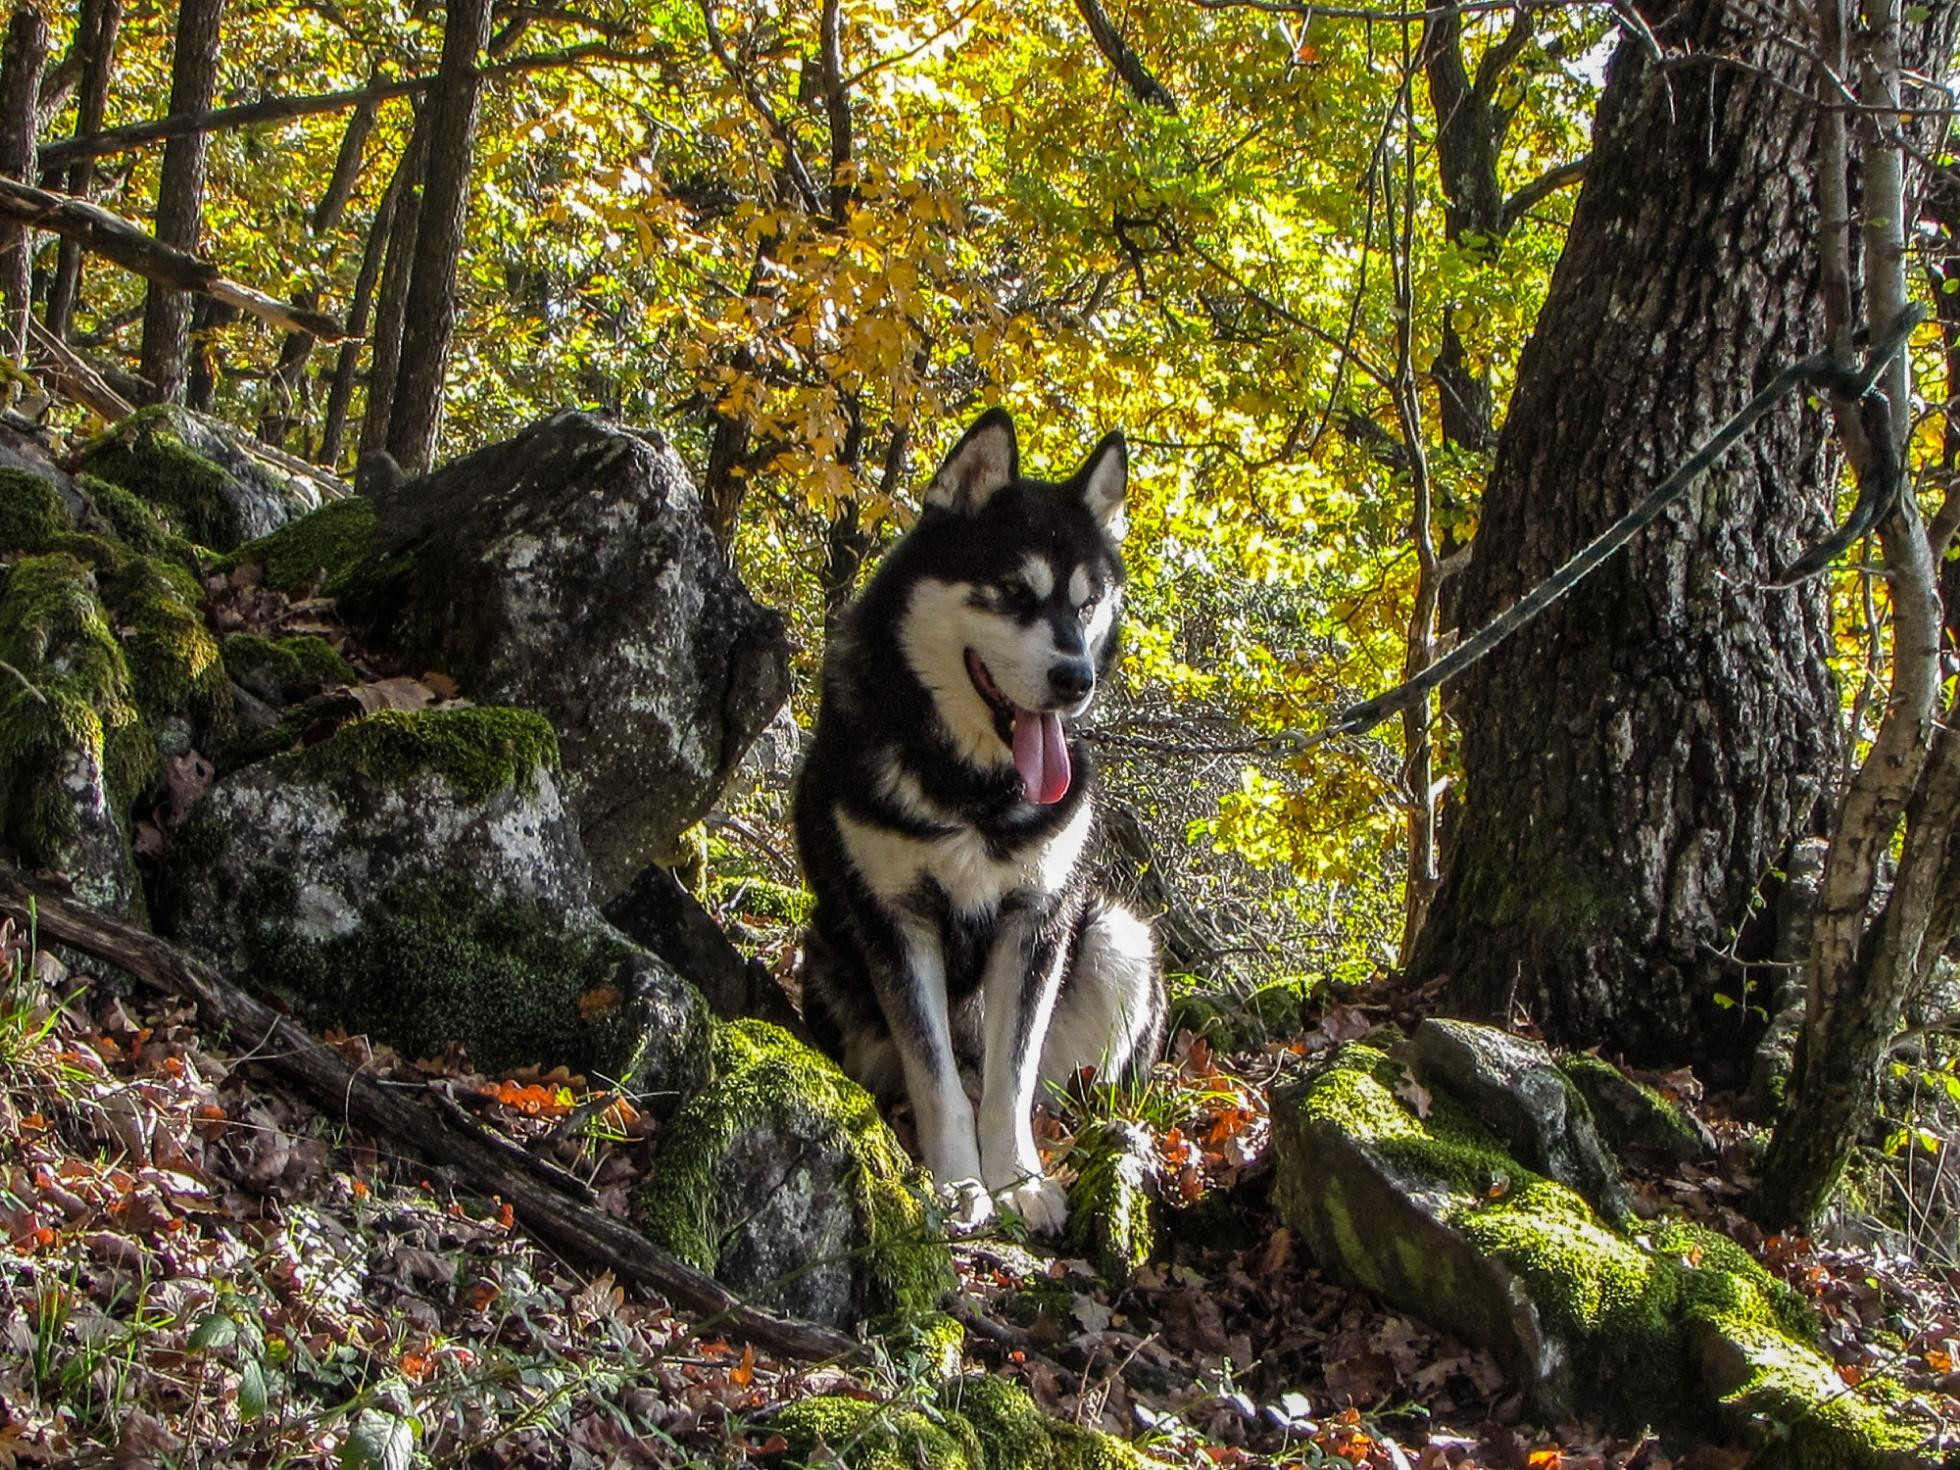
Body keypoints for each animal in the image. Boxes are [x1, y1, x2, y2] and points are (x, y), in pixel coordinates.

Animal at [793, 408, 1167, 1233]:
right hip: (830, 959)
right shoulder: (898, 920)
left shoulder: (1036, 920)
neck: (973, 788)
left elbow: (1011, 1080)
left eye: (1086, 604)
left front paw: (1017, 1180)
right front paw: (961, 1183)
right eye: (1013, 593)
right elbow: (935, 1080)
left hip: (1115, 938)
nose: (1075, 679)